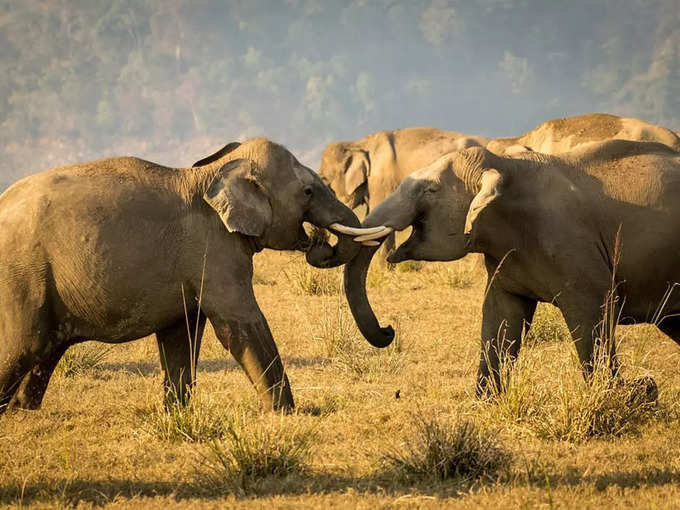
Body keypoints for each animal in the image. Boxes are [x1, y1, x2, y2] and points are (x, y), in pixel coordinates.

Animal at [0, 136, 374, 414]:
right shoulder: (216, 249)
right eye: (308, 191)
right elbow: (241, 322)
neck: (212, 172)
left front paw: (176, 412)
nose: (319, 244)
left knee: (46, 350)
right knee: (23, 346)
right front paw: (286, 413)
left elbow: (182, 333)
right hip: (23, 279)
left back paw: (22, 410)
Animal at [342, 139, 680, 394]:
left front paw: (619, 394)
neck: (505, 166)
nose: (388, 330)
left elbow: (592, 311)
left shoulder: (574, 247)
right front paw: (485, 403)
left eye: (430, 190)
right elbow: (501, 317)